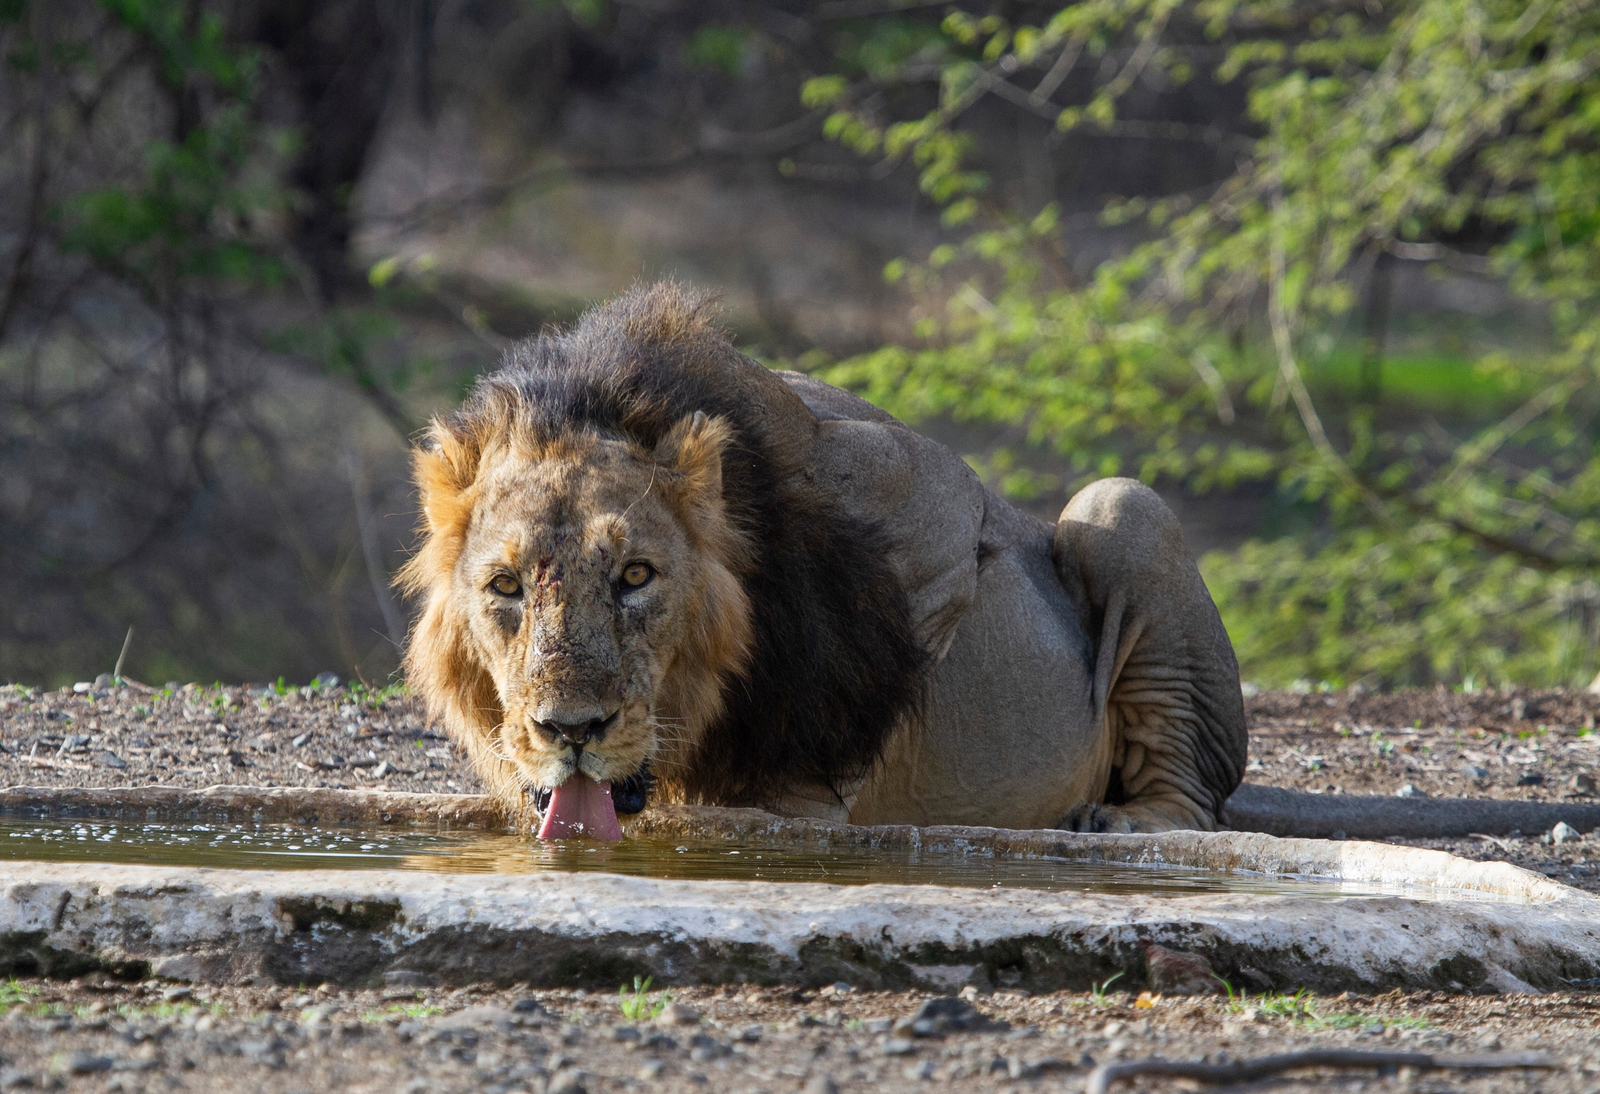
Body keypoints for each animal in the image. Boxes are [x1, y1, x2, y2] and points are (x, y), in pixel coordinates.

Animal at [399, 282, 1248, 838]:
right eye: (506, 586)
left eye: (635, 576)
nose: (571, 729)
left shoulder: (925, 482)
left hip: (1122, 507)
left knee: (1192, 798)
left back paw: (1119, 824)